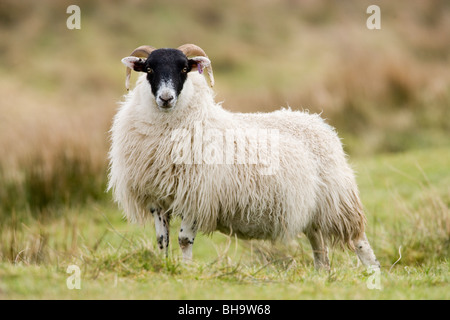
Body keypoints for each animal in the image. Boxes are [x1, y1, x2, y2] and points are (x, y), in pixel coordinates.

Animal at [108, 43, 380, 270]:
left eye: (184, 68)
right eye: (149, 69)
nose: (166, 98)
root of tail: (319, 122)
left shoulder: (197, 195)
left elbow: (184, 240)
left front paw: (186, 270)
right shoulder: (157, 198)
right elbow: (162, 240)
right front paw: (167, 267)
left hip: (339, 200)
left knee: (360, 241)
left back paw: (373, 273)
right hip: (311, 209)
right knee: (320, 246)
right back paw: (321, 275)